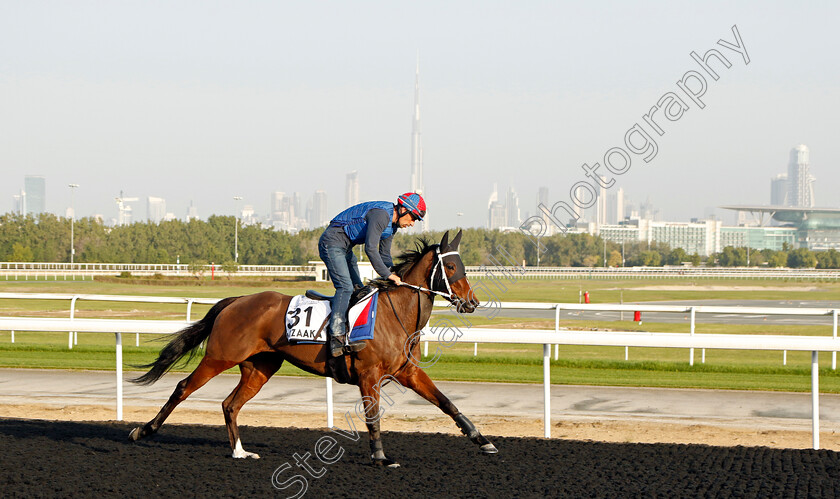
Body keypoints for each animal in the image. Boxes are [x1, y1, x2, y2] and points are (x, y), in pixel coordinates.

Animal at [128, 230, 496, 464]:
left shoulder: (407, 371)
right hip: (221, 356)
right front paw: (380, 457)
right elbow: (372, 416)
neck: (395, 315)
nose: (472, 303)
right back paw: (143, 430)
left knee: (230, 404)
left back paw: (240, 452)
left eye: (464, 267)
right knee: (183, 387)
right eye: (451, 267)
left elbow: (446, 402)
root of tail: (236, 300)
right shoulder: (368, 374)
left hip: (260, 367)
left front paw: (482, 439)